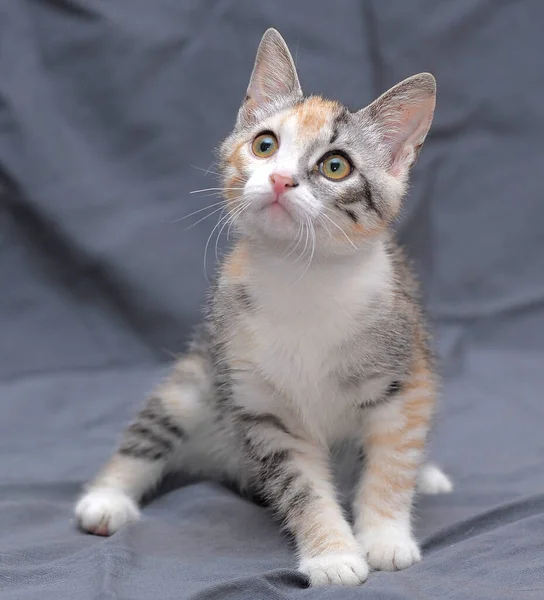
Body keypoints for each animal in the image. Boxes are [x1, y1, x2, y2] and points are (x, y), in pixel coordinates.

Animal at [74, 28, 452, 584]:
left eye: (335, 166)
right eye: (265, 145)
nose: (279, 180)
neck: (304, 279)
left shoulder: (405, 377)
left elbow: (392, 460)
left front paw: (384, 536)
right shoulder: (263, 406)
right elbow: (302, 487)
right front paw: (332, 554)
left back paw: (427, 474)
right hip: (198, 377)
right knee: (153, 426)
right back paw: (106, 498)